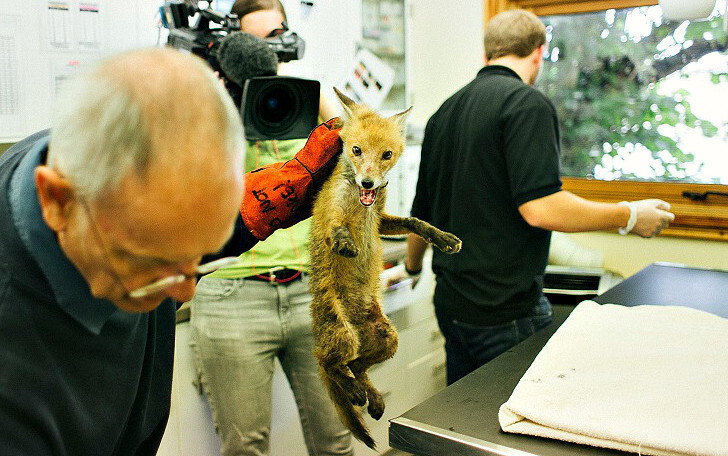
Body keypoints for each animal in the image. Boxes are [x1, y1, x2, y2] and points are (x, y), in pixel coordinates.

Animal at [308, 87, 460, 448]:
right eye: (356, 150)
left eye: (387, 154)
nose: (367, 182)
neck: (362, 205)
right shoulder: (330, 213)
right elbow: (335, 227)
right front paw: (345, 243)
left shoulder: (382, 221)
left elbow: (416, 222)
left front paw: (443, 238)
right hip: (343, 335)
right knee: (331, 365)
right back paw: (353, 391)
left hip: (387, 338)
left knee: (357, 366)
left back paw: (371, 396)